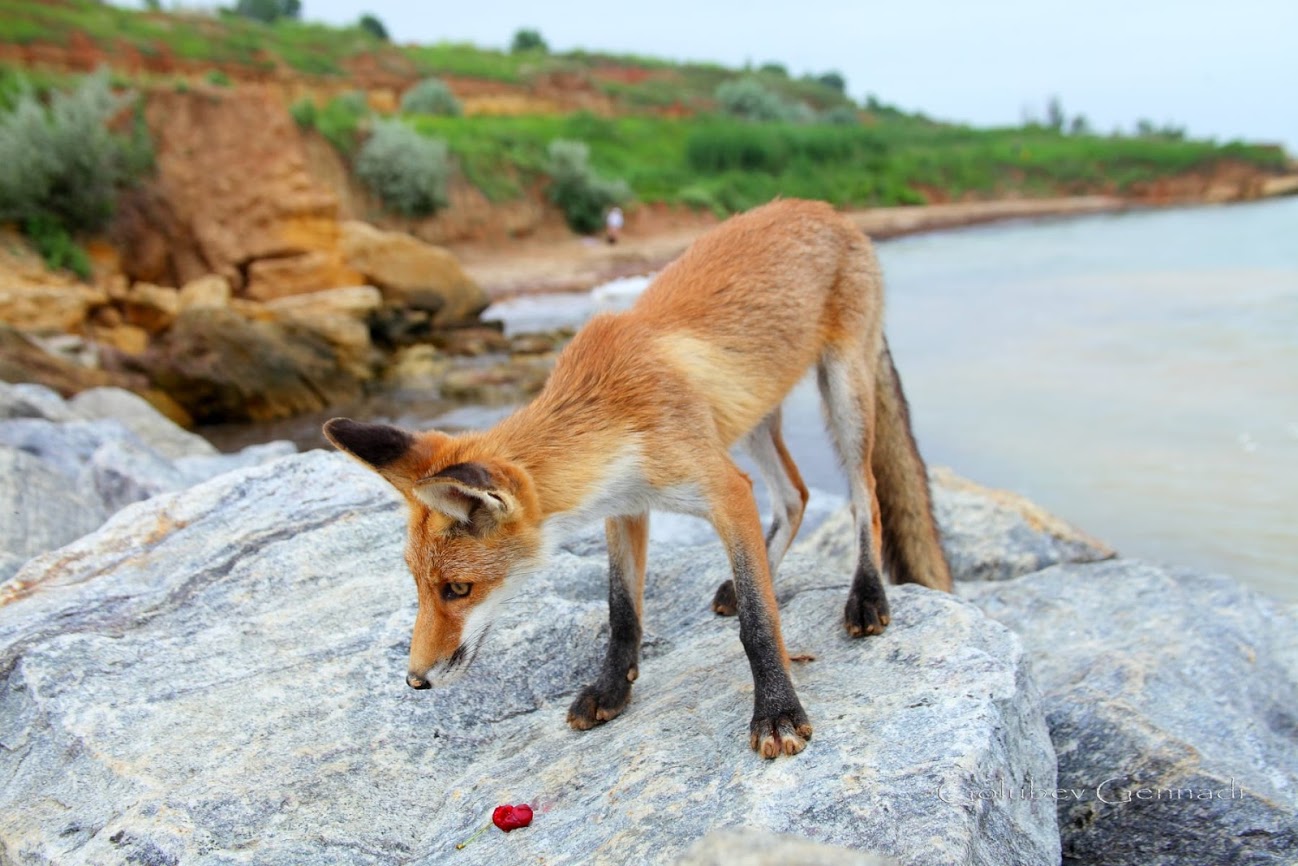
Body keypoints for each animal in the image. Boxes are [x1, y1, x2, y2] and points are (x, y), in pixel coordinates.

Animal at [324, 196, 955, 758]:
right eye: (416, 584)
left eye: (458, 589)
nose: (415, 680)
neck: (613, 411)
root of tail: (827, 210)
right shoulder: (625, 507)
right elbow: (622, 610)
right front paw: (612, 689)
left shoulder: (723, 488)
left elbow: (758, 624)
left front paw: (776, 710)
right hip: (748, 415)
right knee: (795, 494)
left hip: (843, 393)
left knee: (864, 496)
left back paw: (866, 595)